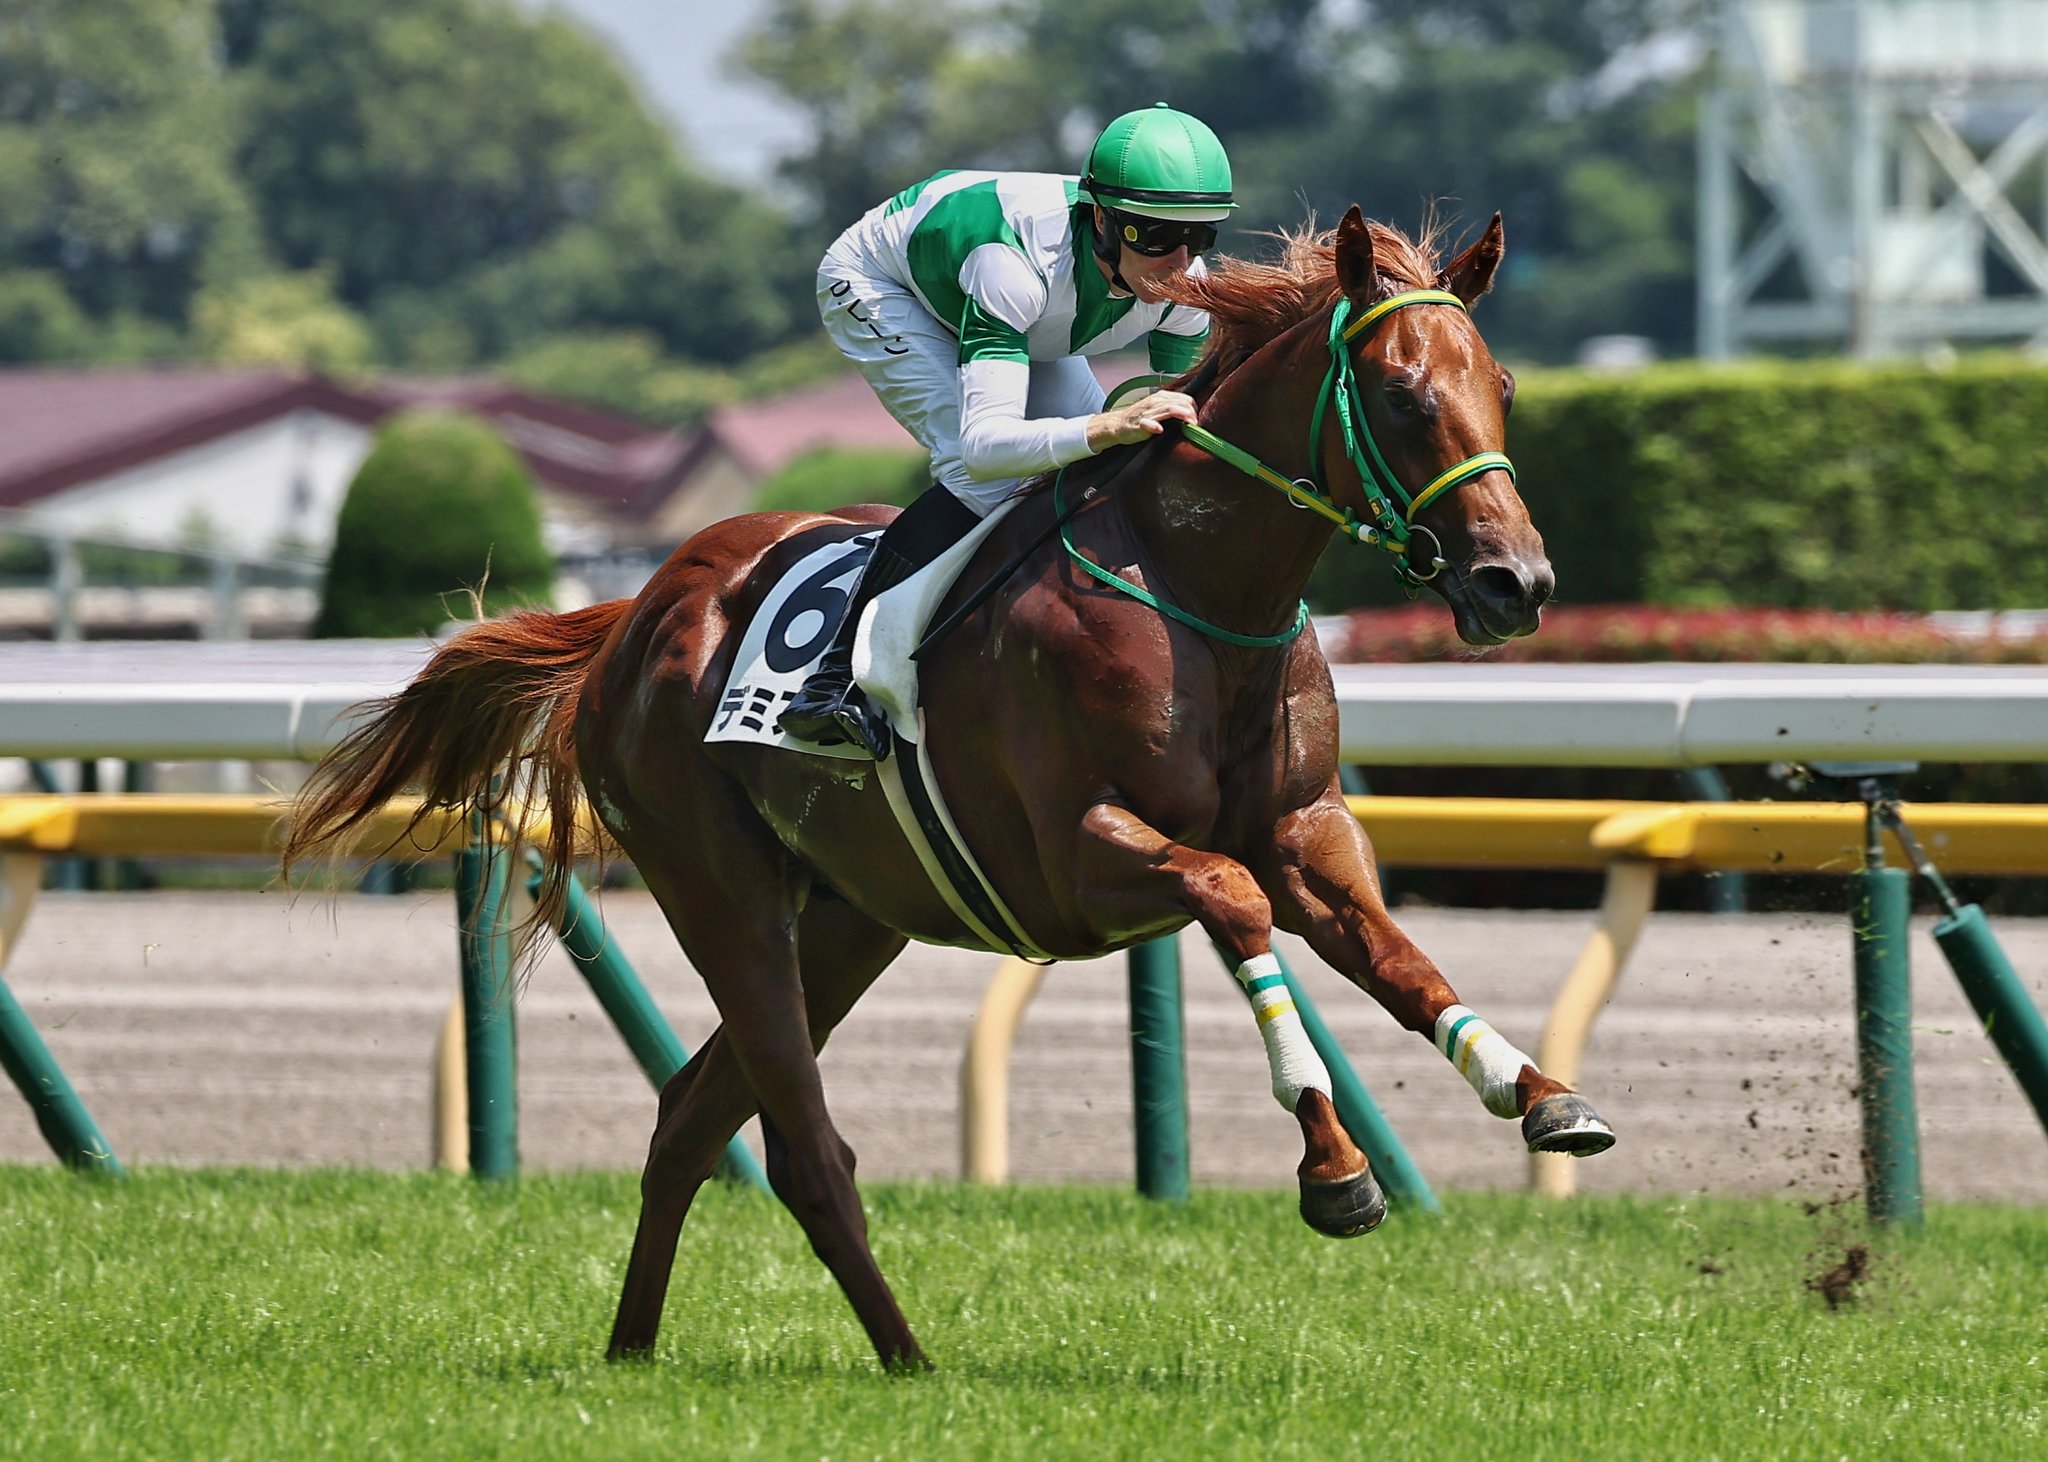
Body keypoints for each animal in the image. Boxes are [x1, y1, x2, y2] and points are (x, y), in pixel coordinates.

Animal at [284, 206, 1613, 1373]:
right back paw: (905, 1357)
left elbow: (1395, 954)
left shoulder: (1304, 830)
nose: (1515, 583)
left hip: (851, 917)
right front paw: (1333, 1167)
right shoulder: (1079, 858)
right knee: (805, 1147)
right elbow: (1230, 898)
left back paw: (637, 1347)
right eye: (1398, 394)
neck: (1196, 586)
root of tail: (634, 612)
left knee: (694, 1116)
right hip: (721, 893)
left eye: (1501, 389)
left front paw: (1537, 1091)